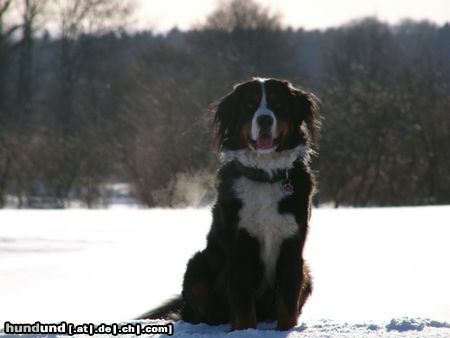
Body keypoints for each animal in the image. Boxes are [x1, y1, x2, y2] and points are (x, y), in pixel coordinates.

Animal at [140, 78, 320, 332]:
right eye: (249, 106)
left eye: (278, 104)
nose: (265, 119)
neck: (264, 175)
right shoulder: (239, 245)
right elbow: (243, 301)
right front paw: (244, 330)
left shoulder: (292, 245)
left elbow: (287, 301)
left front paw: (287, 329)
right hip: (198, 266)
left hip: (307, 272)